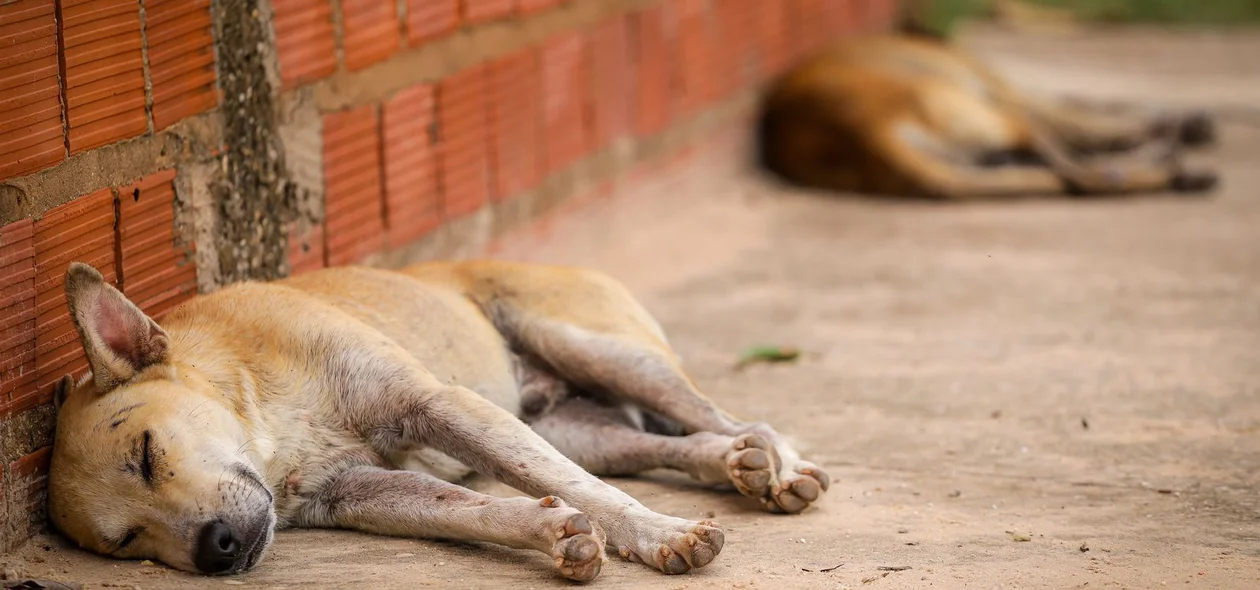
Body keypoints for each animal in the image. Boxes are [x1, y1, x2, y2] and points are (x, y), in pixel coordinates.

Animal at [46, 260, 826, 579]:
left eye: (147, 453)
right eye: (126, 542)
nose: (218, 550)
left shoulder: (435, 405)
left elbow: (578, 491)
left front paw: (660, 534)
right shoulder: (361, 494)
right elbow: (473, 510)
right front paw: (551, 533)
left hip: (599, 350)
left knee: (727, 415)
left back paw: (778, 462)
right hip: (579, 429)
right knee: (671, 444)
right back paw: (736, 463)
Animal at [750, 31, 1214, 197]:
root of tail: (861, 129)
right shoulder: (1007, 92)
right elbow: (1084, 117)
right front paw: (1174, 127)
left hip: (980, 149)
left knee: (1060, 171)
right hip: (992, 113)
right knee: (1086, 174)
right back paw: (1172, 166)